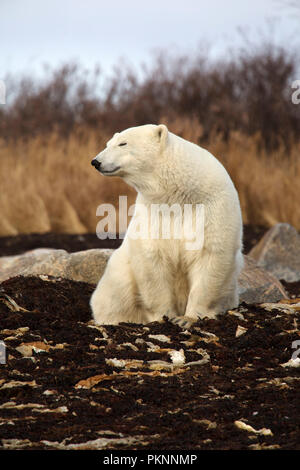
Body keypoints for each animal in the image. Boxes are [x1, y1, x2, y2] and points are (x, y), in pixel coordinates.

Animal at [89, 123, 244, 326]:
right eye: (108, 143)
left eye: (123, 143)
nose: (96, 162)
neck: (180, 193)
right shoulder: (153, 211)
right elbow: (153, 258)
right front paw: (164, 317)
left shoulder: (212, 206)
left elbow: (210, 255)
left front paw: (187, 318)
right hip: (118, 274)